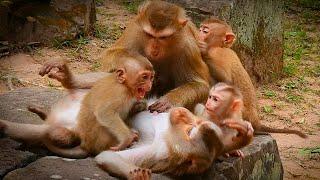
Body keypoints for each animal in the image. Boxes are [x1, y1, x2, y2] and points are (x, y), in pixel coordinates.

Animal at [0, 52, 155, 156]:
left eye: (151, 77)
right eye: (144, 77)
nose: (150, 85)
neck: (125, 86)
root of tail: (86, 146)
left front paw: (139, 106)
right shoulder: (119, 92)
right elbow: (105, 112)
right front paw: (126, 139)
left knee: (56, 134)